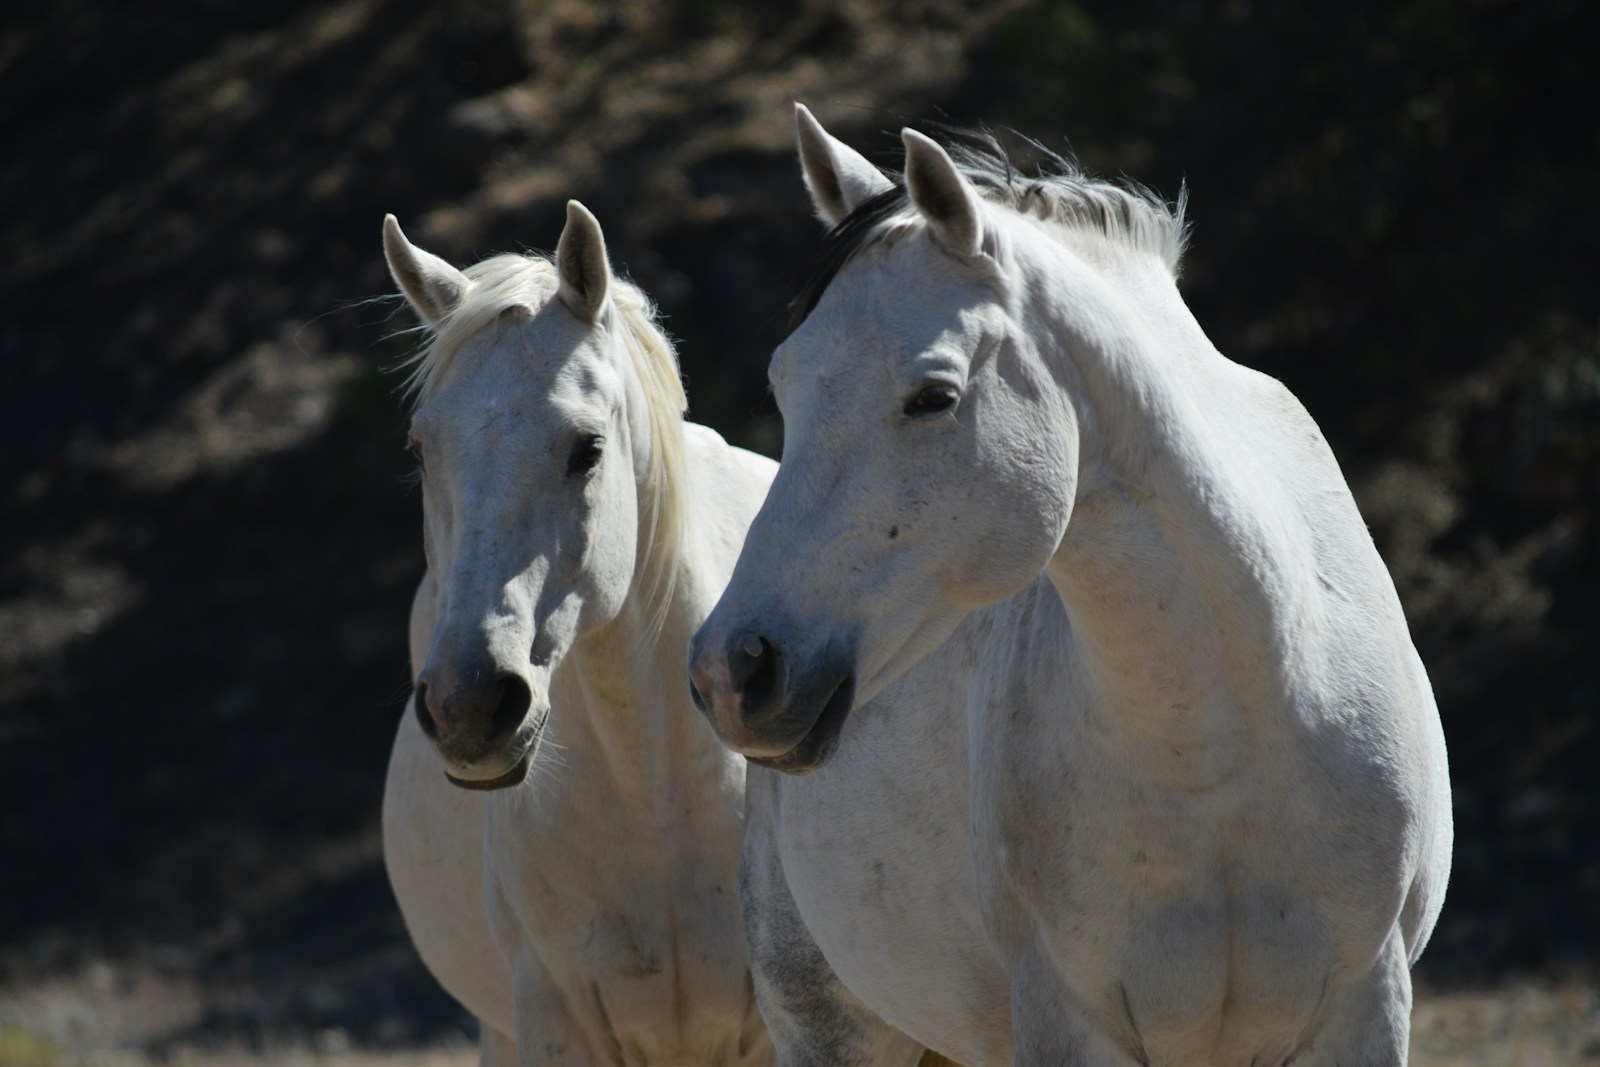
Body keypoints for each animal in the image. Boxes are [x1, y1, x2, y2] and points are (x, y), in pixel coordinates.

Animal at [687, 105, 1453, 1066]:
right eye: (783, 387)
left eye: (933, 397)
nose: (732, 671)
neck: (1226, 735)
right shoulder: (1067, 1018)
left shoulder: (1366, 1005)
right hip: (827, 1026)